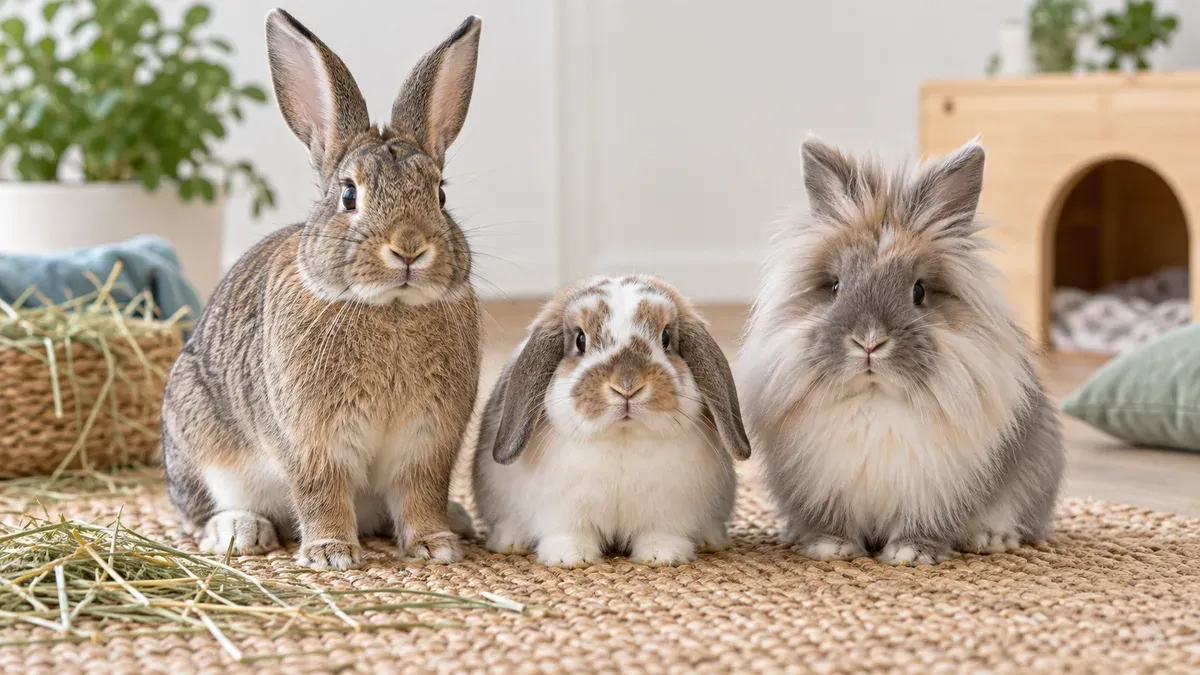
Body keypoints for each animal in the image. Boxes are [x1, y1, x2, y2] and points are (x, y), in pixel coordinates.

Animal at [160, 9, 485, 570]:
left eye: (440, 194)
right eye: (349, 194)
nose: (409, 248)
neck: (390, 308)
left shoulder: (429, 443)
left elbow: (421, 493)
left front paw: (434, 545)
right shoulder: (313, 441)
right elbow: (321, 491)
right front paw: (331, 554)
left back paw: (458, 520)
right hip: (195, 432)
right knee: (196, 515)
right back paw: (240, 531)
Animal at [472, 275, 752, 568]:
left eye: (665, 337)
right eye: (580, 339)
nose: (627, 386)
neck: (622, 436)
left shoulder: (668, 511)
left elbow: (661, 534)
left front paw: (661, 556)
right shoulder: (563, 510)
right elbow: (569, 533)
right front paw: (570, 558)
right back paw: (509, 542)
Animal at [738, 137, 1064, 566]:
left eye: (919, 292)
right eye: (835, 287)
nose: (869, 341)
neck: (876, 400)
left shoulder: (937, 491)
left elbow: (924, 523)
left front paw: (911, 554)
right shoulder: (824, 486)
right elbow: (833, 520)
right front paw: (831, 548)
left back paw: (992, 538)